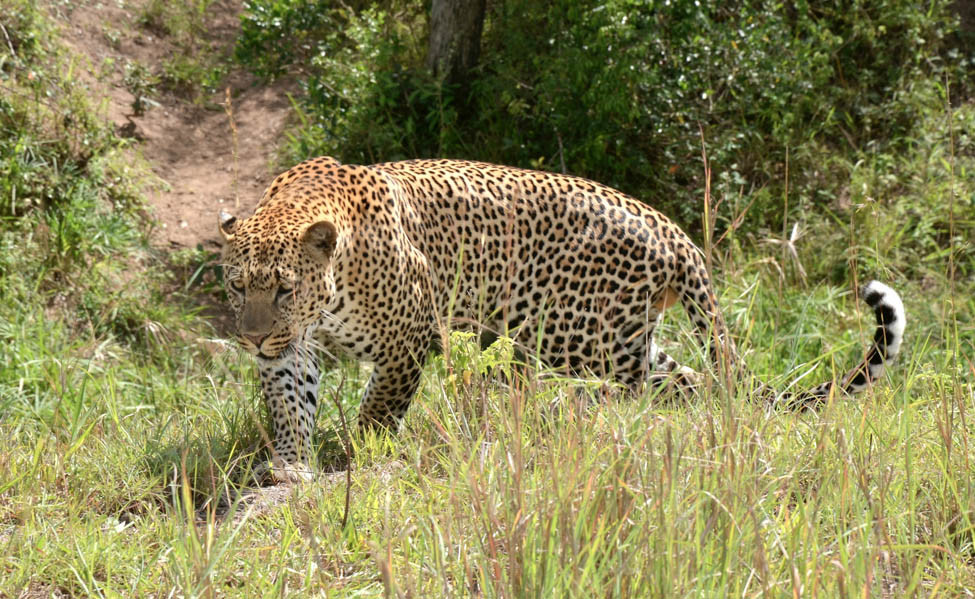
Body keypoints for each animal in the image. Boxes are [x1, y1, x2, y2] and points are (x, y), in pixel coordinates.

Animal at [221, 157, 908, 486]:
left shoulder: (406, 339)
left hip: (571, 332)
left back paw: (574, 411)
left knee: (640, 387)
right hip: (620, 336)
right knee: (696, 385)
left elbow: (379, 409)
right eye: (236, 286)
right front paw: (289, 464)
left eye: (283, 289)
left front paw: (360, 454)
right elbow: (288, 403)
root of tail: (676, 233)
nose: (251, 337)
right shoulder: (292, 349)